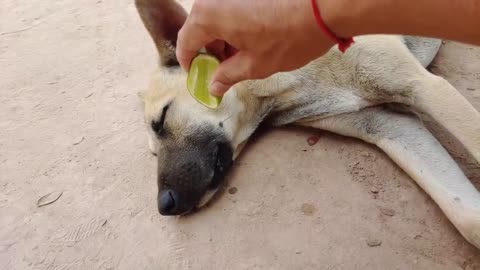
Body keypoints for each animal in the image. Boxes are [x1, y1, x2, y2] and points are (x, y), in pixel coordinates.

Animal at [135, 0, 480, 249]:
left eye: (162, 119)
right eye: (152, 153)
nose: (164, 205)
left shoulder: (422, 85)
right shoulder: (390, 126)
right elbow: (468, 217)